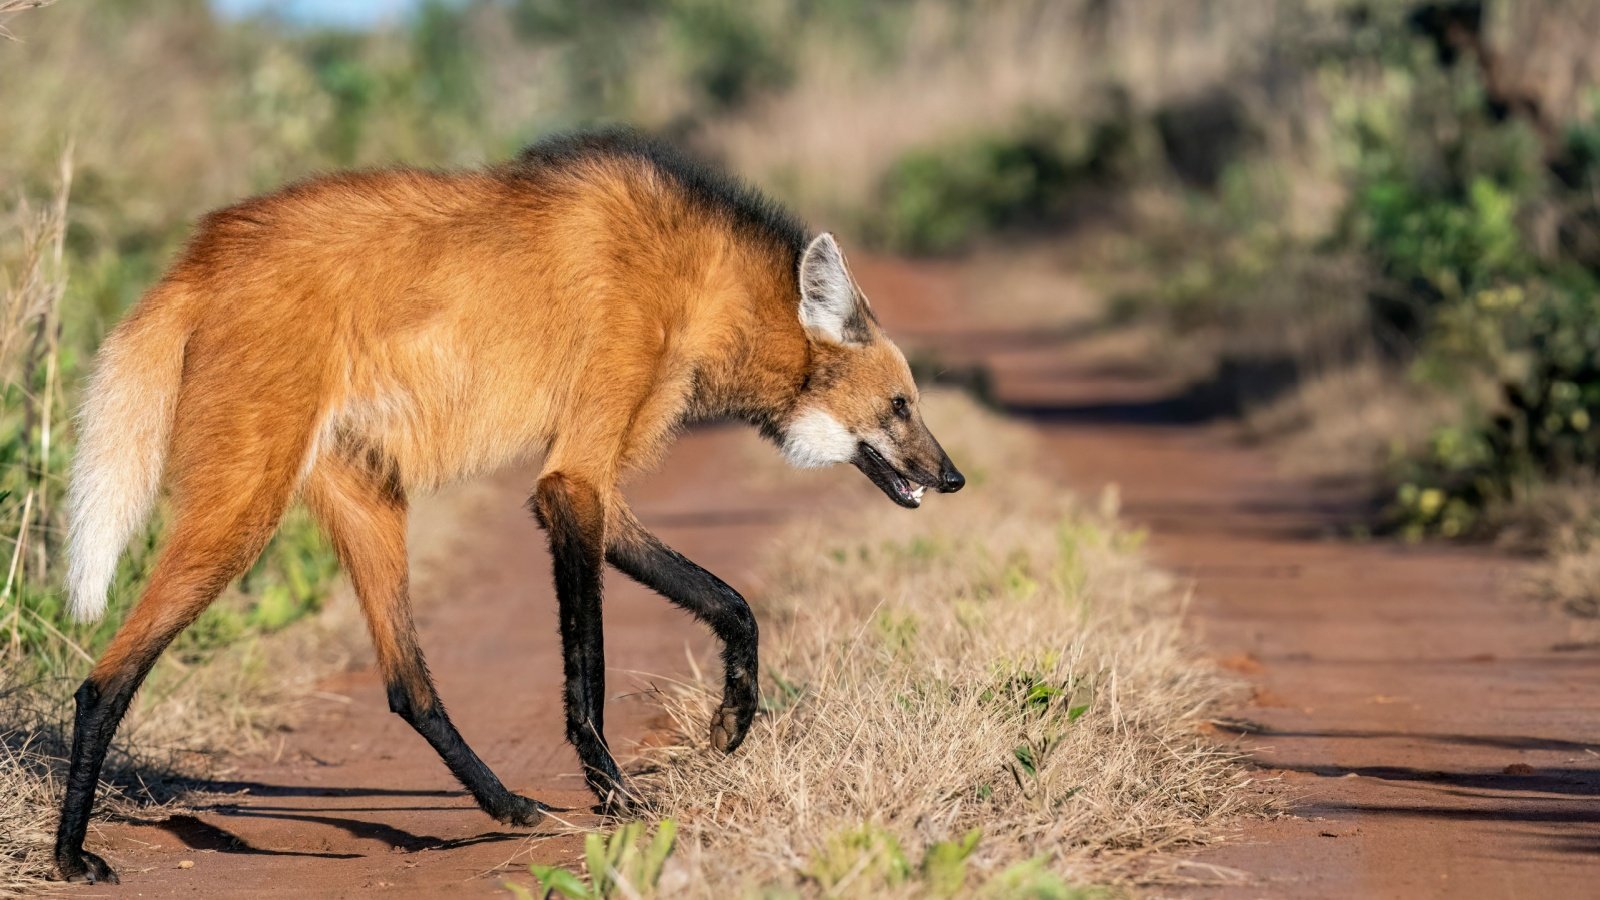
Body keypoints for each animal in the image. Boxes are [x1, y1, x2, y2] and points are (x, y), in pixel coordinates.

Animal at [56, 128, 960, 883]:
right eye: (901, 407)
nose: (952, 479)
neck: (703, 285)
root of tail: (202, 253)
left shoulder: (599, 490)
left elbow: (731, 602)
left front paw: (731, 722)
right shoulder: (573, 482)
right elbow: (590, 671)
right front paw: (618, 797)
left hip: (365, 494)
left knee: (408, 685)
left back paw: (508, 804)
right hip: (244, 509)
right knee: (105, 679)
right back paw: (70, 857)